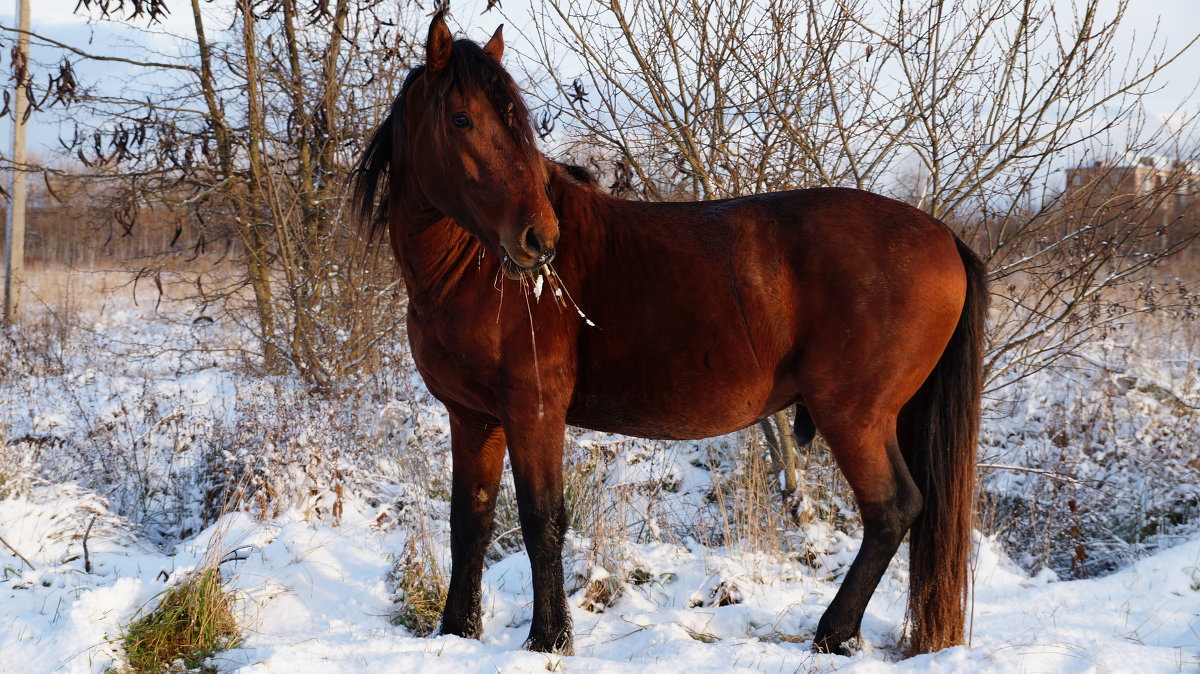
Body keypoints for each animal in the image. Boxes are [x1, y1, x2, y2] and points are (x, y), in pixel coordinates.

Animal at [350, 11, 988, 657]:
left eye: (516, 123)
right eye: (461, 119)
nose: (539, 238)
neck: (470, 273)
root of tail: (944, 237)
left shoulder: (533, 412)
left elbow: (542, 520)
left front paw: (549, 640)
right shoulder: (474, 417)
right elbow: (471, 521)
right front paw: (458, 631)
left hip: (854, 415)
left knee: (891, 510)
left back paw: (832, 633)